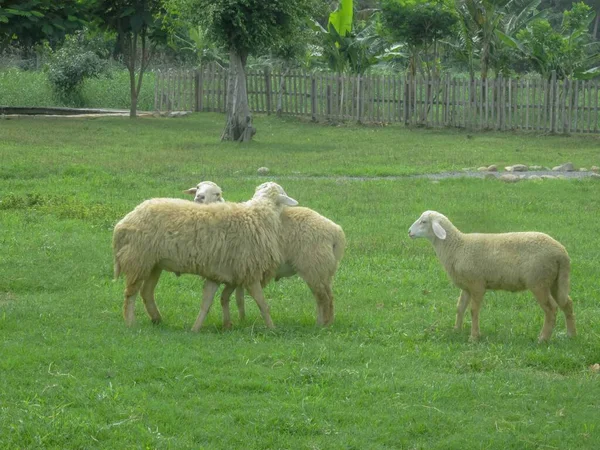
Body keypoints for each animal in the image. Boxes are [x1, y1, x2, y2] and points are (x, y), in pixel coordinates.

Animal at [112, 181, 298, 332]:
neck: (257, 215)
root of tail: (124, 221)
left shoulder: (218, 273)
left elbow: (207, 303)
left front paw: (196, 329)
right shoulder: (250, 272)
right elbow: (263, 304)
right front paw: (272, 329)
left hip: (153, 263)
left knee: (147, 292)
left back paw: (157, 319)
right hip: (138, 258)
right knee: (130, 293)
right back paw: (130, 322)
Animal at [186, 182, 346, 326]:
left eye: (217, 193)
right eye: (197, 187)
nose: (199, 197)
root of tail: (336, 231)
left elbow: (236, 298)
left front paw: (241, 321)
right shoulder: (237, 272)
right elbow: (233, 298)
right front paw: (239, 320)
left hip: (314, 266)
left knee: (324, 298)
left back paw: (323, 325)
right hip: (322, 270)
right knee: (323, 297)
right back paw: (322, 323)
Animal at [408, 211, 576, 342]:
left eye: (424, 222)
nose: (409, 232)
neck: (457, 247)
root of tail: (562, 253)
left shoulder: (477, 284)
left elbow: (473, 310)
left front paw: (474, 337)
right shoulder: (466, 287)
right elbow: (460, 308)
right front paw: (456, 330)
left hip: (538, 281)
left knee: (551, 309)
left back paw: (543, 338)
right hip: (555, 281)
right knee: (567, 303)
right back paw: (570, 334)